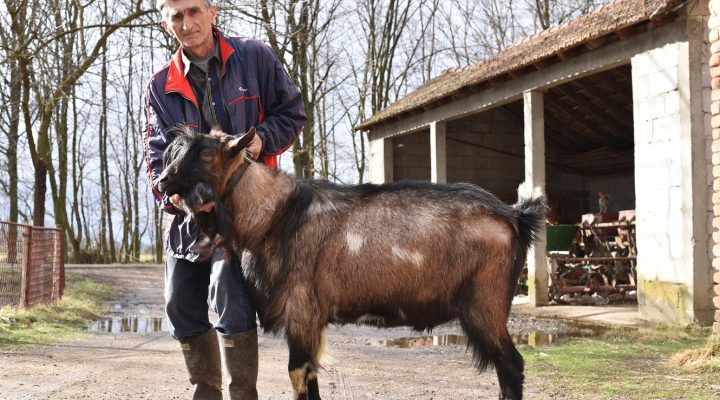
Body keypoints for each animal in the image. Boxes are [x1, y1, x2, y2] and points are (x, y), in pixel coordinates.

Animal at [155, 126, 544, 398]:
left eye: (207, 154)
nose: (161, 180)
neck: (275, 216)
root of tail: (515, 215)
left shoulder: (302, 312)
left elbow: (297, 373)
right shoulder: (311, 321)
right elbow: (310, 374)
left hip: (486, 305)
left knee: (511, 366)